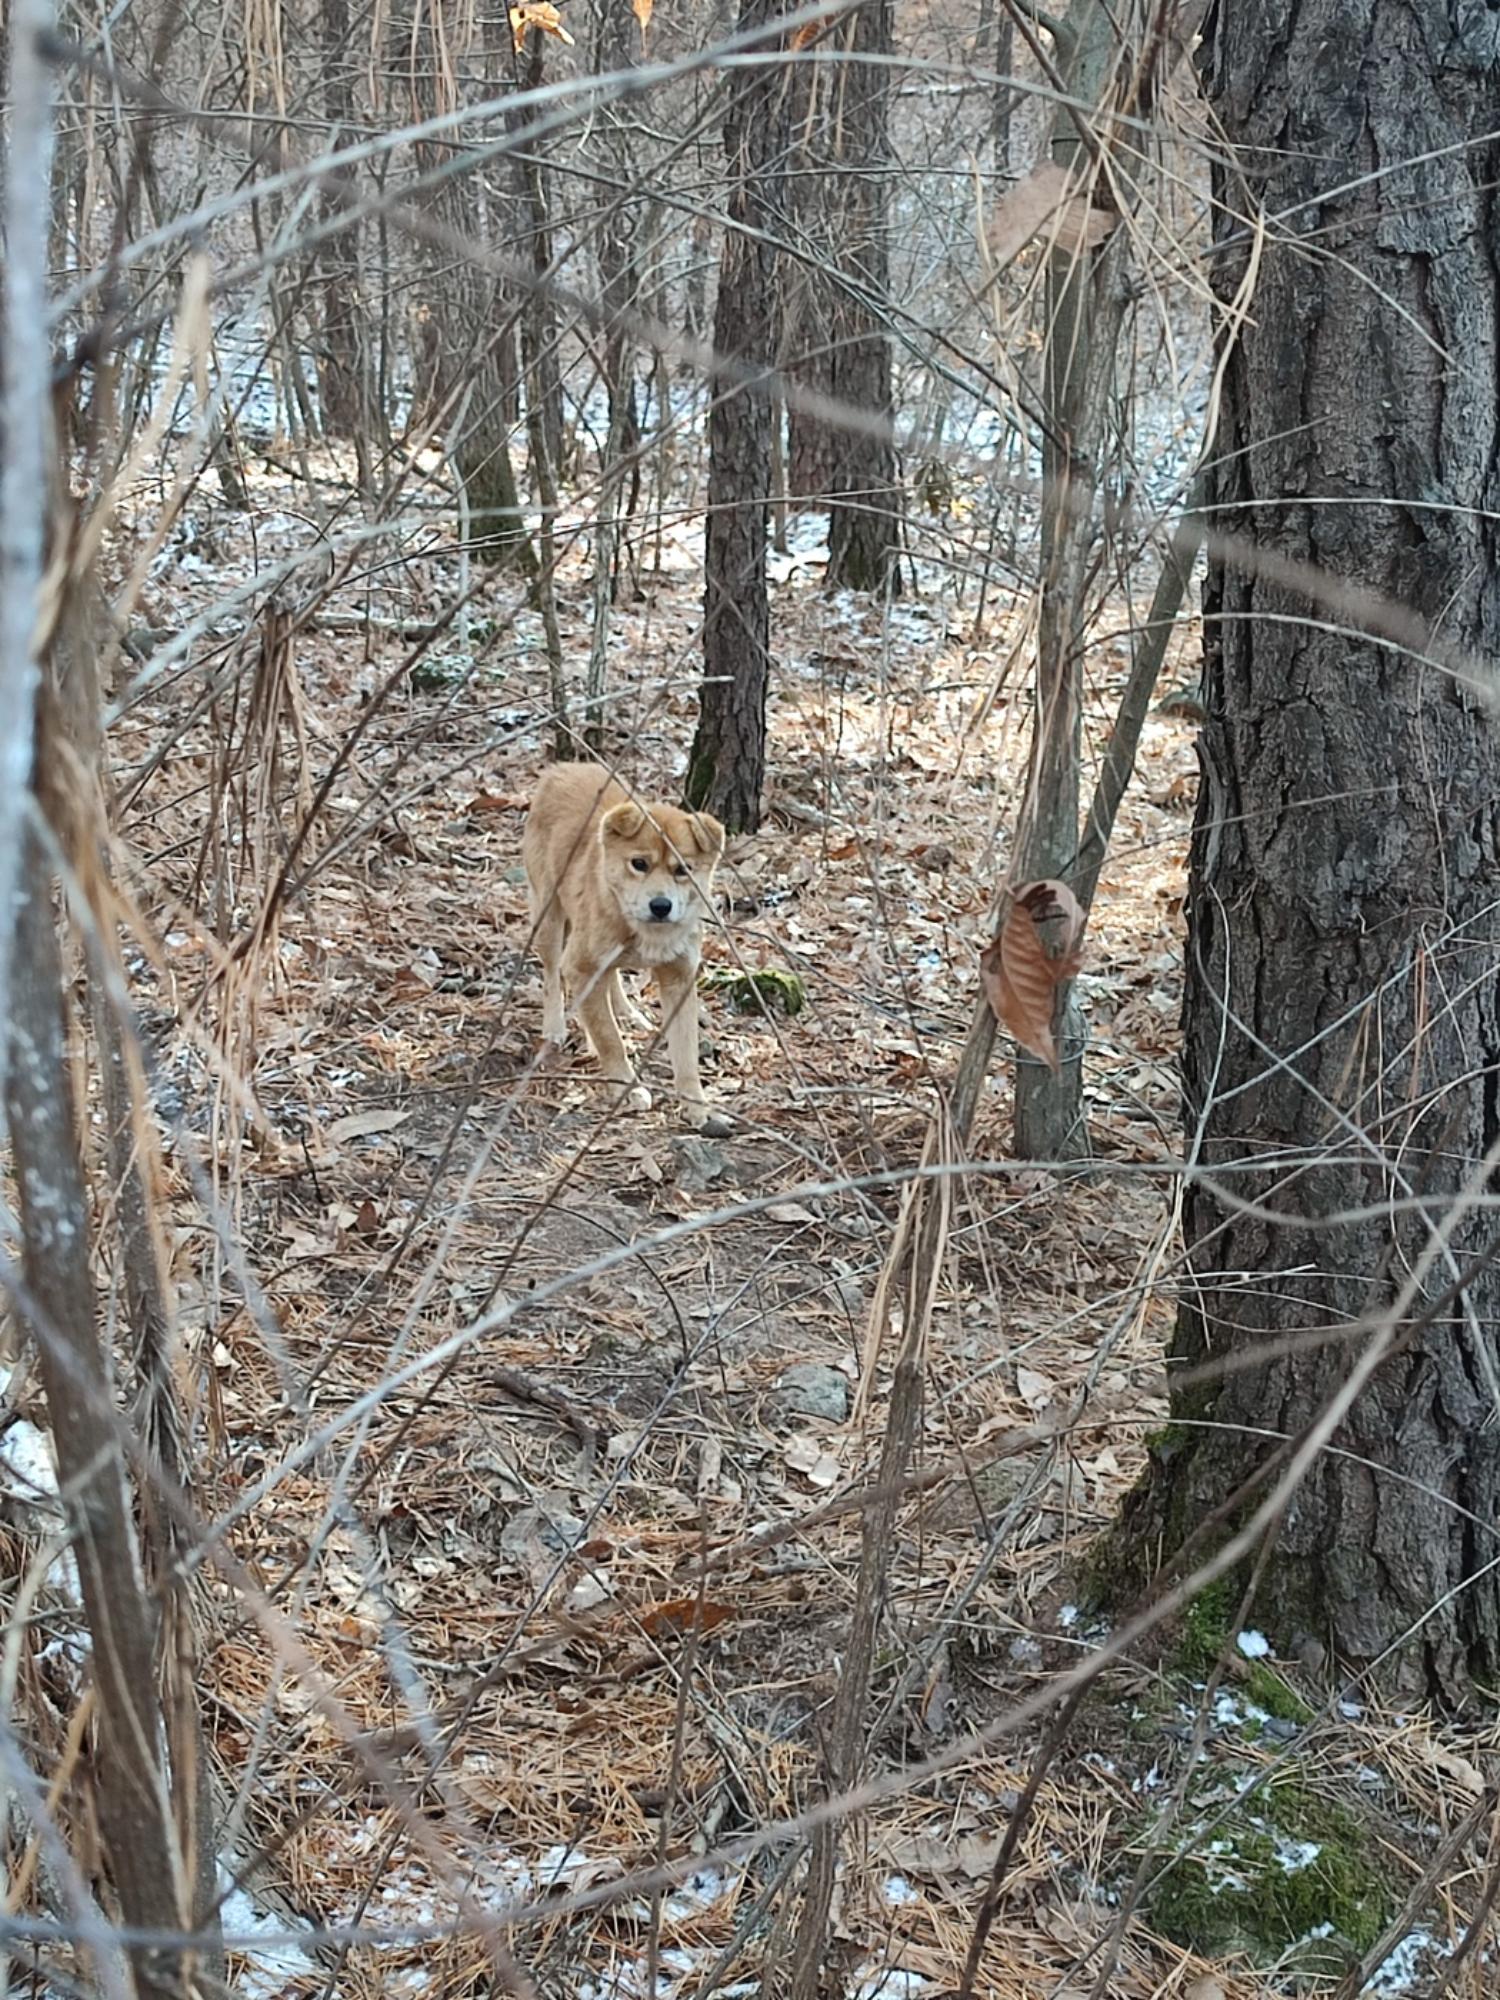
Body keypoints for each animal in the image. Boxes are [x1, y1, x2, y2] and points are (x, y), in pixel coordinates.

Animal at [524, 764, 736, 1136]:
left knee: (611, 979)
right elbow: (609, 1037)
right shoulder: (580, 965)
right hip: (548, 920)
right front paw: (626, 1086)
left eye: (683, 869)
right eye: (639, 864)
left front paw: (698, 1107)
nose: (661, 905)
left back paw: (627, 1012)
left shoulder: (680, 979)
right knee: (551, 975)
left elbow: (686, 1054)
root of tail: (562, 768)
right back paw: (555, 1027)